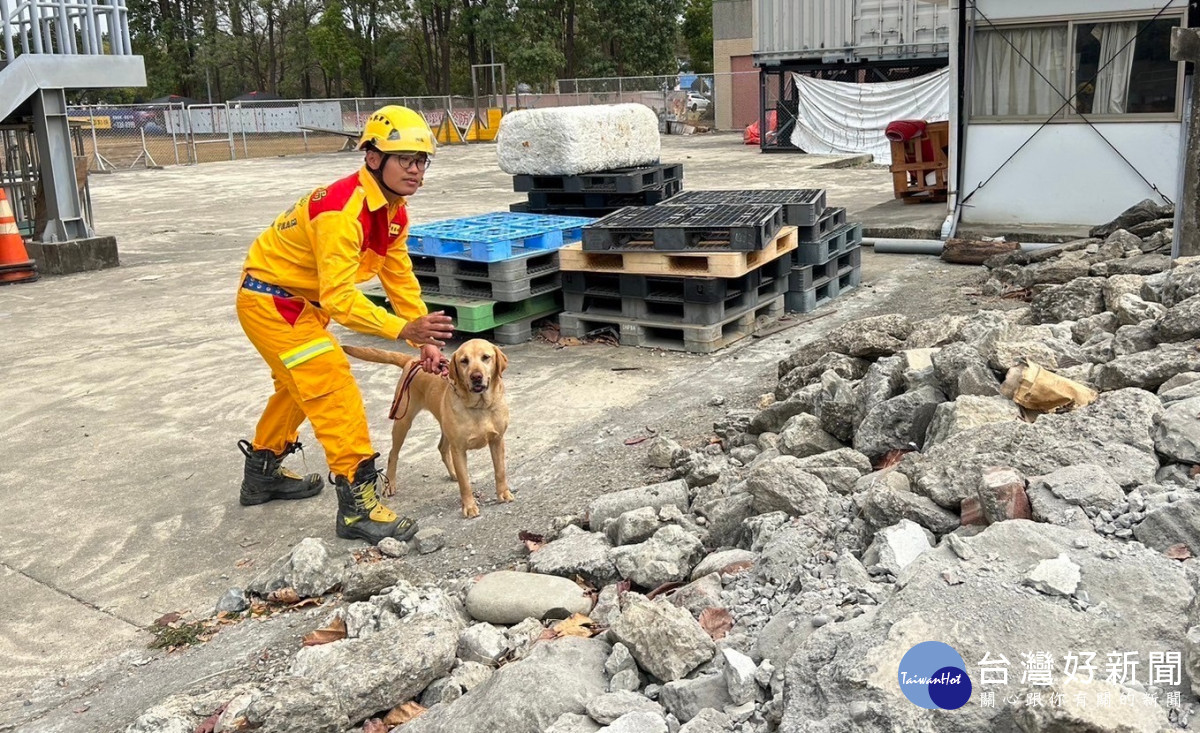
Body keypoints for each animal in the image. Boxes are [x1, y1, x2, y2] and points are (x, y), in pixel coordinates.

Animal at [348, 340, 516, 518]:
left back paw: (453, 473)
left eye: (486, 357)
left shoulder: (497, 441)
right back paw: (390, 484)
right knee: (393, 454)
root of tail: (412, 361)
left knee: (441, 448)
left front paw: (503, 494)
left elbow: (500, 471)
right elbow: (465, 483)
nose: (476, 377)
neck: (480, 406)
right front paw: (469, 506)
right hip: (403, 421)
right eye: (464, 361)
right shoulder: (458, 449)